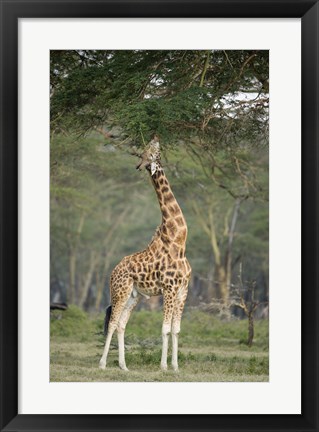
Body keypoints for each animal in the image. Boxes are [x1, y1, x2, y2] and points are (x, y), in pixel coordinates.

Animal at [99, 135, 191, 372]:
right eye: (147, 151)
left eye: (153, 147)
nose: (156, 136)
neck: (179, 242)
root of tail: (113, 271)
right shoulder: (169, 289)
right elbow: (165, 328)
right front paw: (164, 366)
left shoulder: (182, 290)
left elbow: (176, 329)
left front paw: (176, 367)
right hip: (120, 290)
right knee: (112, 322)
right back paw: (102, 364)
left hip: (134, 295)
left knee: (122, 324)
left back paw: (123, 366)